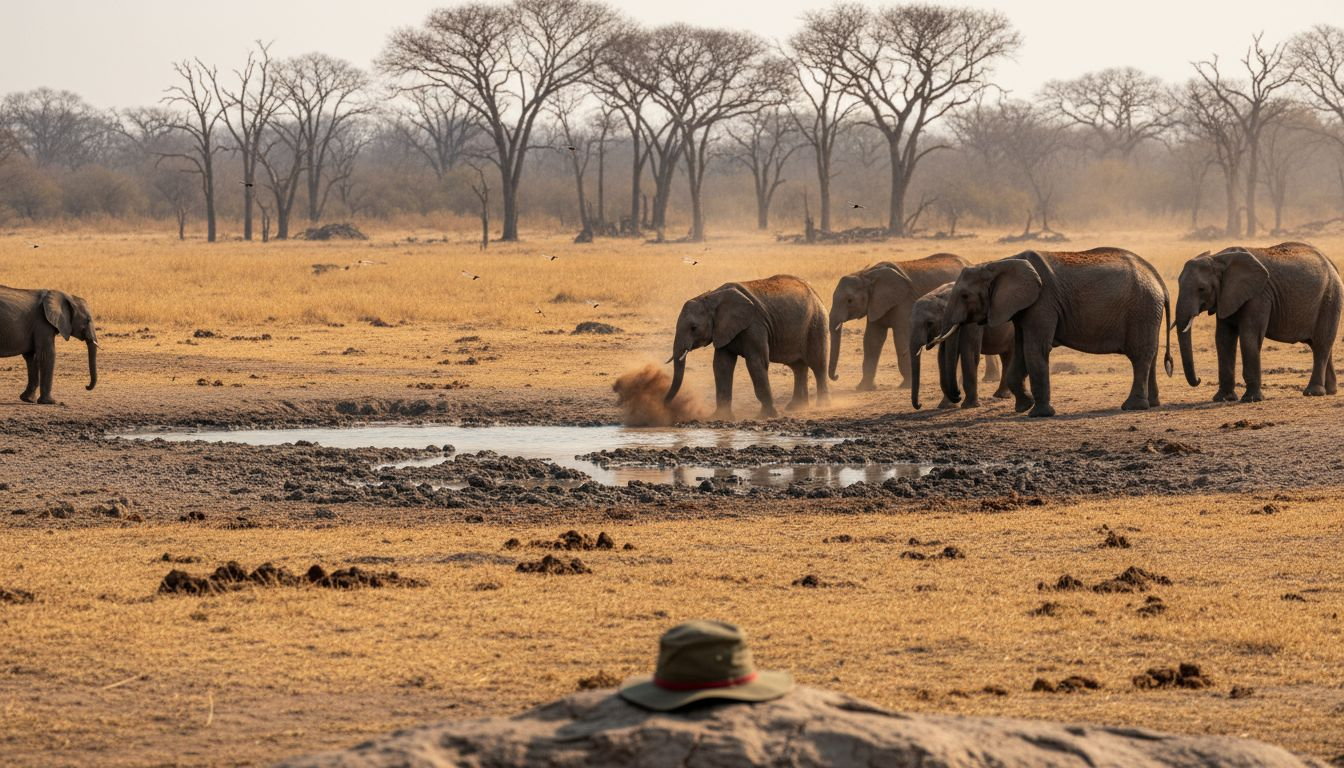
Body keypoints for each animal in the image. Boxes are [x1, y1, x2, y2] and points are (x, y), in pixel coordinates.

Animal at [665, 275, 829, 420]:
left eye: (693, 328)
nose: (664, 403)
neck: (711, 297)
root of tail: (814, 292)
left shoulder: (754, 325)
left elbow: (756, 363)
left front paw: (766, 416)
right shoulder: (723, 329)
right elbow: (721, 365)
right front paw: (720, 417)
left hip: (816, 323)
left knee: (818, 365)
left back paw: (822, 405)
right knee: (798, 367)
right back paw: (796, 407)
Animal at [828, 253, 969, 391]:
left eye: (849, 300)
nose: (836, 376)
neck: (866, 274)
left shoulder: (903, 302)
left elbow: (901, 338)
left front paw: (906, 385)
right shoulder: (875, 304)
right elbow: (872, 339)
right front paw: (864, 388)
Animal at [936, 248, 1173, 417]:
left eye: (965, 296)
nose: (957, 397)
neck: (998, 263)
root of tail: (1159, 281)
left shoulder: (1042, 302)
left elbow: (1035, 349)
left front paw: (1039, 414)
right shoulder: (1022, 308)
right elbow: (1021, 351)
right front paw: (1024, 407)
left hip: (1142, 308)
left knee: (1140, 356)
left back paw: (1132, 407)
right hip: (1148, 311)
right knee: (1150, 355)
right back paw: (1152, 404)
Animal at [1175, 242, 1342, 402]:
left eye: (1201, 289)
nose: (1199, 380)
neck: (1218, 259)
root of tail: (1331, 264)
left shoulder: (1259, 295)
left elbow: (1250, 336)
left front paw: (1251, 399)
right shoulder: (1226, 297)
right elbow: (1223, 339)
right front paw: (1223, 399)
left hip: (1330, 298)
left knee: (1321, 344)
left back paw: (1313, 393)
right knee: (1319, 345)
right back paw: (1330, 391)